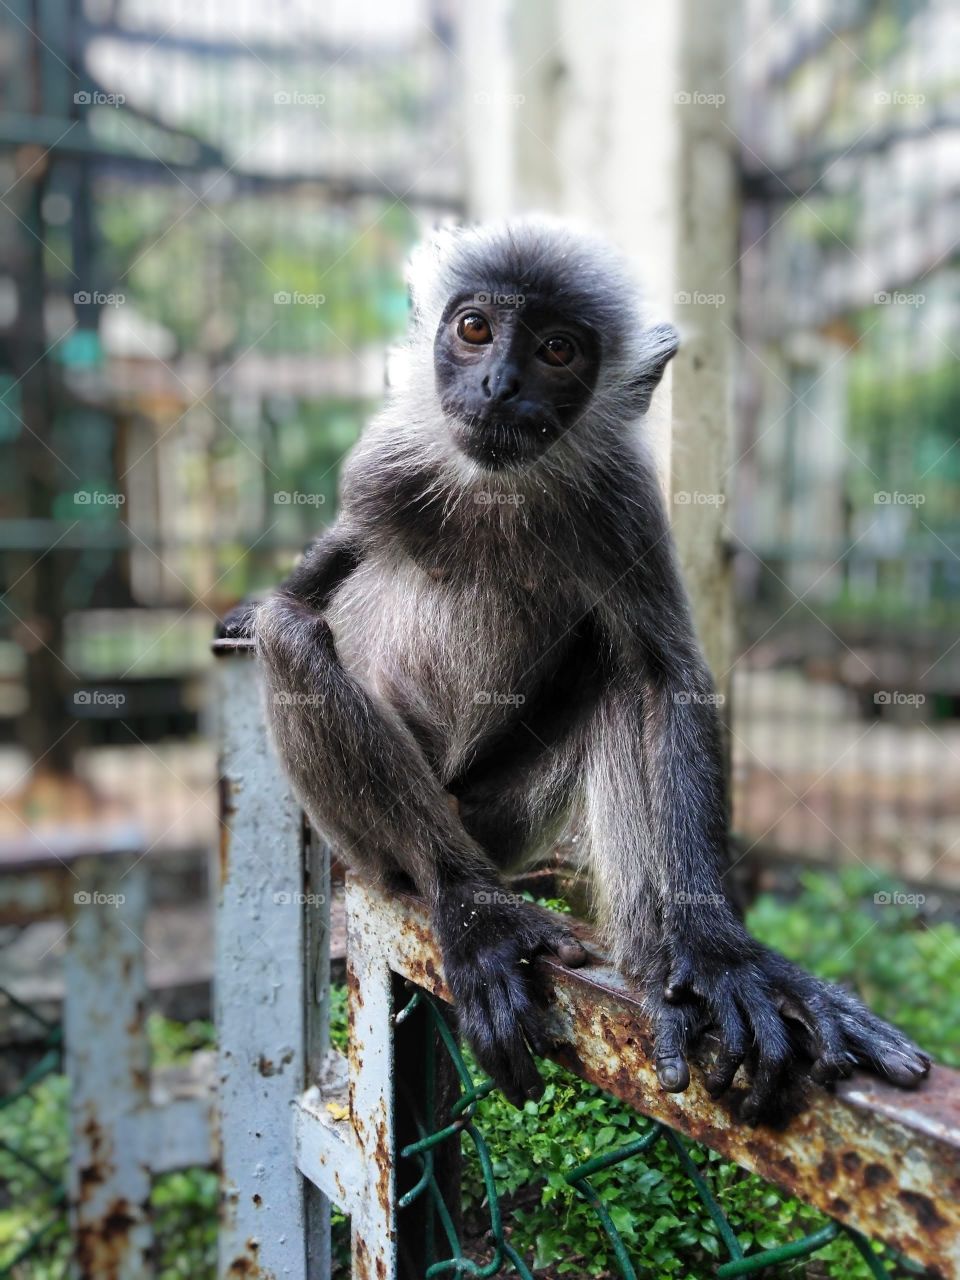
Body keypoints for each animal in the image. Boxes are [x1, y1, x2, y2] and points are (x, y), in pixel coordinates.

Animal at [218, 219, 929, 1120]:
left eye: (557, 349)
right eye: (475, 328)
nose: (499, 385)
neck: (498, 489)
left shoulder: (622, 500)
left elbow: (665, 679)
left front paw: (723, 956)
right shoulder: (387, 463)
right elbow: (316, 576)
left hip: (501, 814)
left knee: (620, 680)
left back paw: (661, 978)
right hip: (375, 842)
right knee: (295, 638)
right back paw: (470, 898)